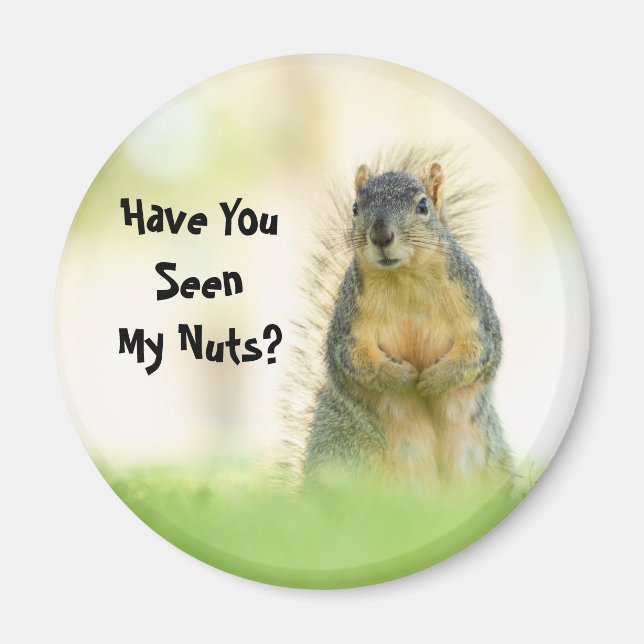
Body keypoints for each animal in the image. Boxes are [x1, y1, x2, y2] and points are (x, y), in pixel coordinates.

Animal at [298, 151, 515, 488]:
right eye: (355, 207)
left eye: (423, 206)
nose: (381, 235)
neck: (405, 278)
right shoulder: (349, 324)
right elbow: (354, 359)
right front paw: (404, 377)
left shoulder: (475, 311)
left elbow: (479, 351)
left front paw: (434, 379)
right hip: (347, 454)